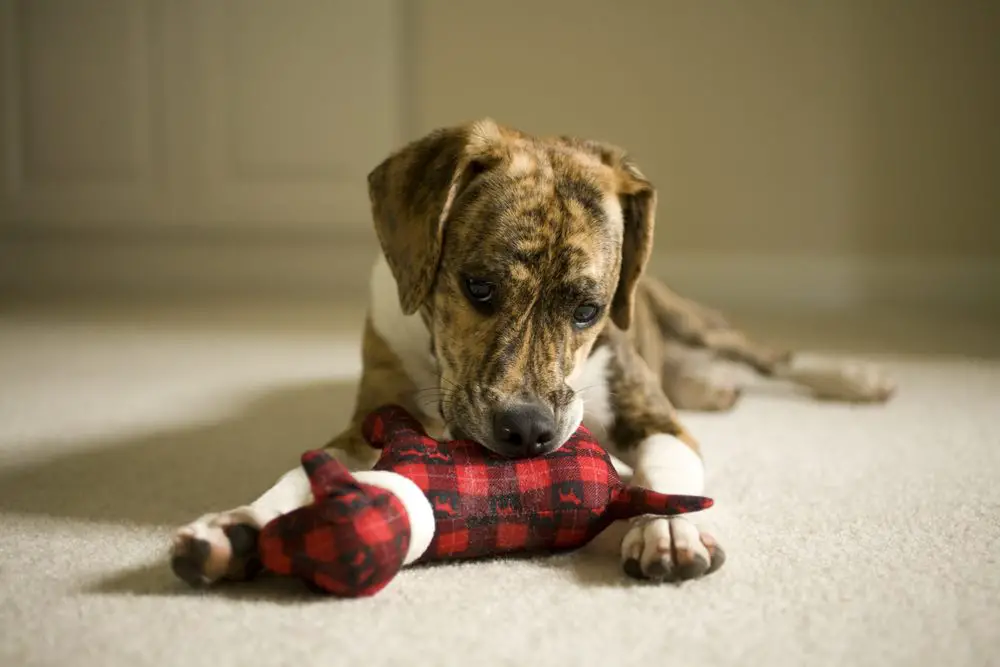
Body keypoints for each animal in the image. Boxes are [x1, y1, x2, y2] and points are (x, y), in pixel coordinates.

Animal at [168, 118, 896, 584]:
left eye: (588, 310)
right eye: (478, 286)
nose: (526, 430)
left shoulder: (650, 412)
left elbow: (668, 461)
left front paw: (667, 528)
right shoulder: (370, 415)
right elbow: (305, 471)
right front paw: (237, 525)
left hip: (695, 321)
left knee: (769, 354)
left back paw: (854, 375)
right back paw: (719, 387)